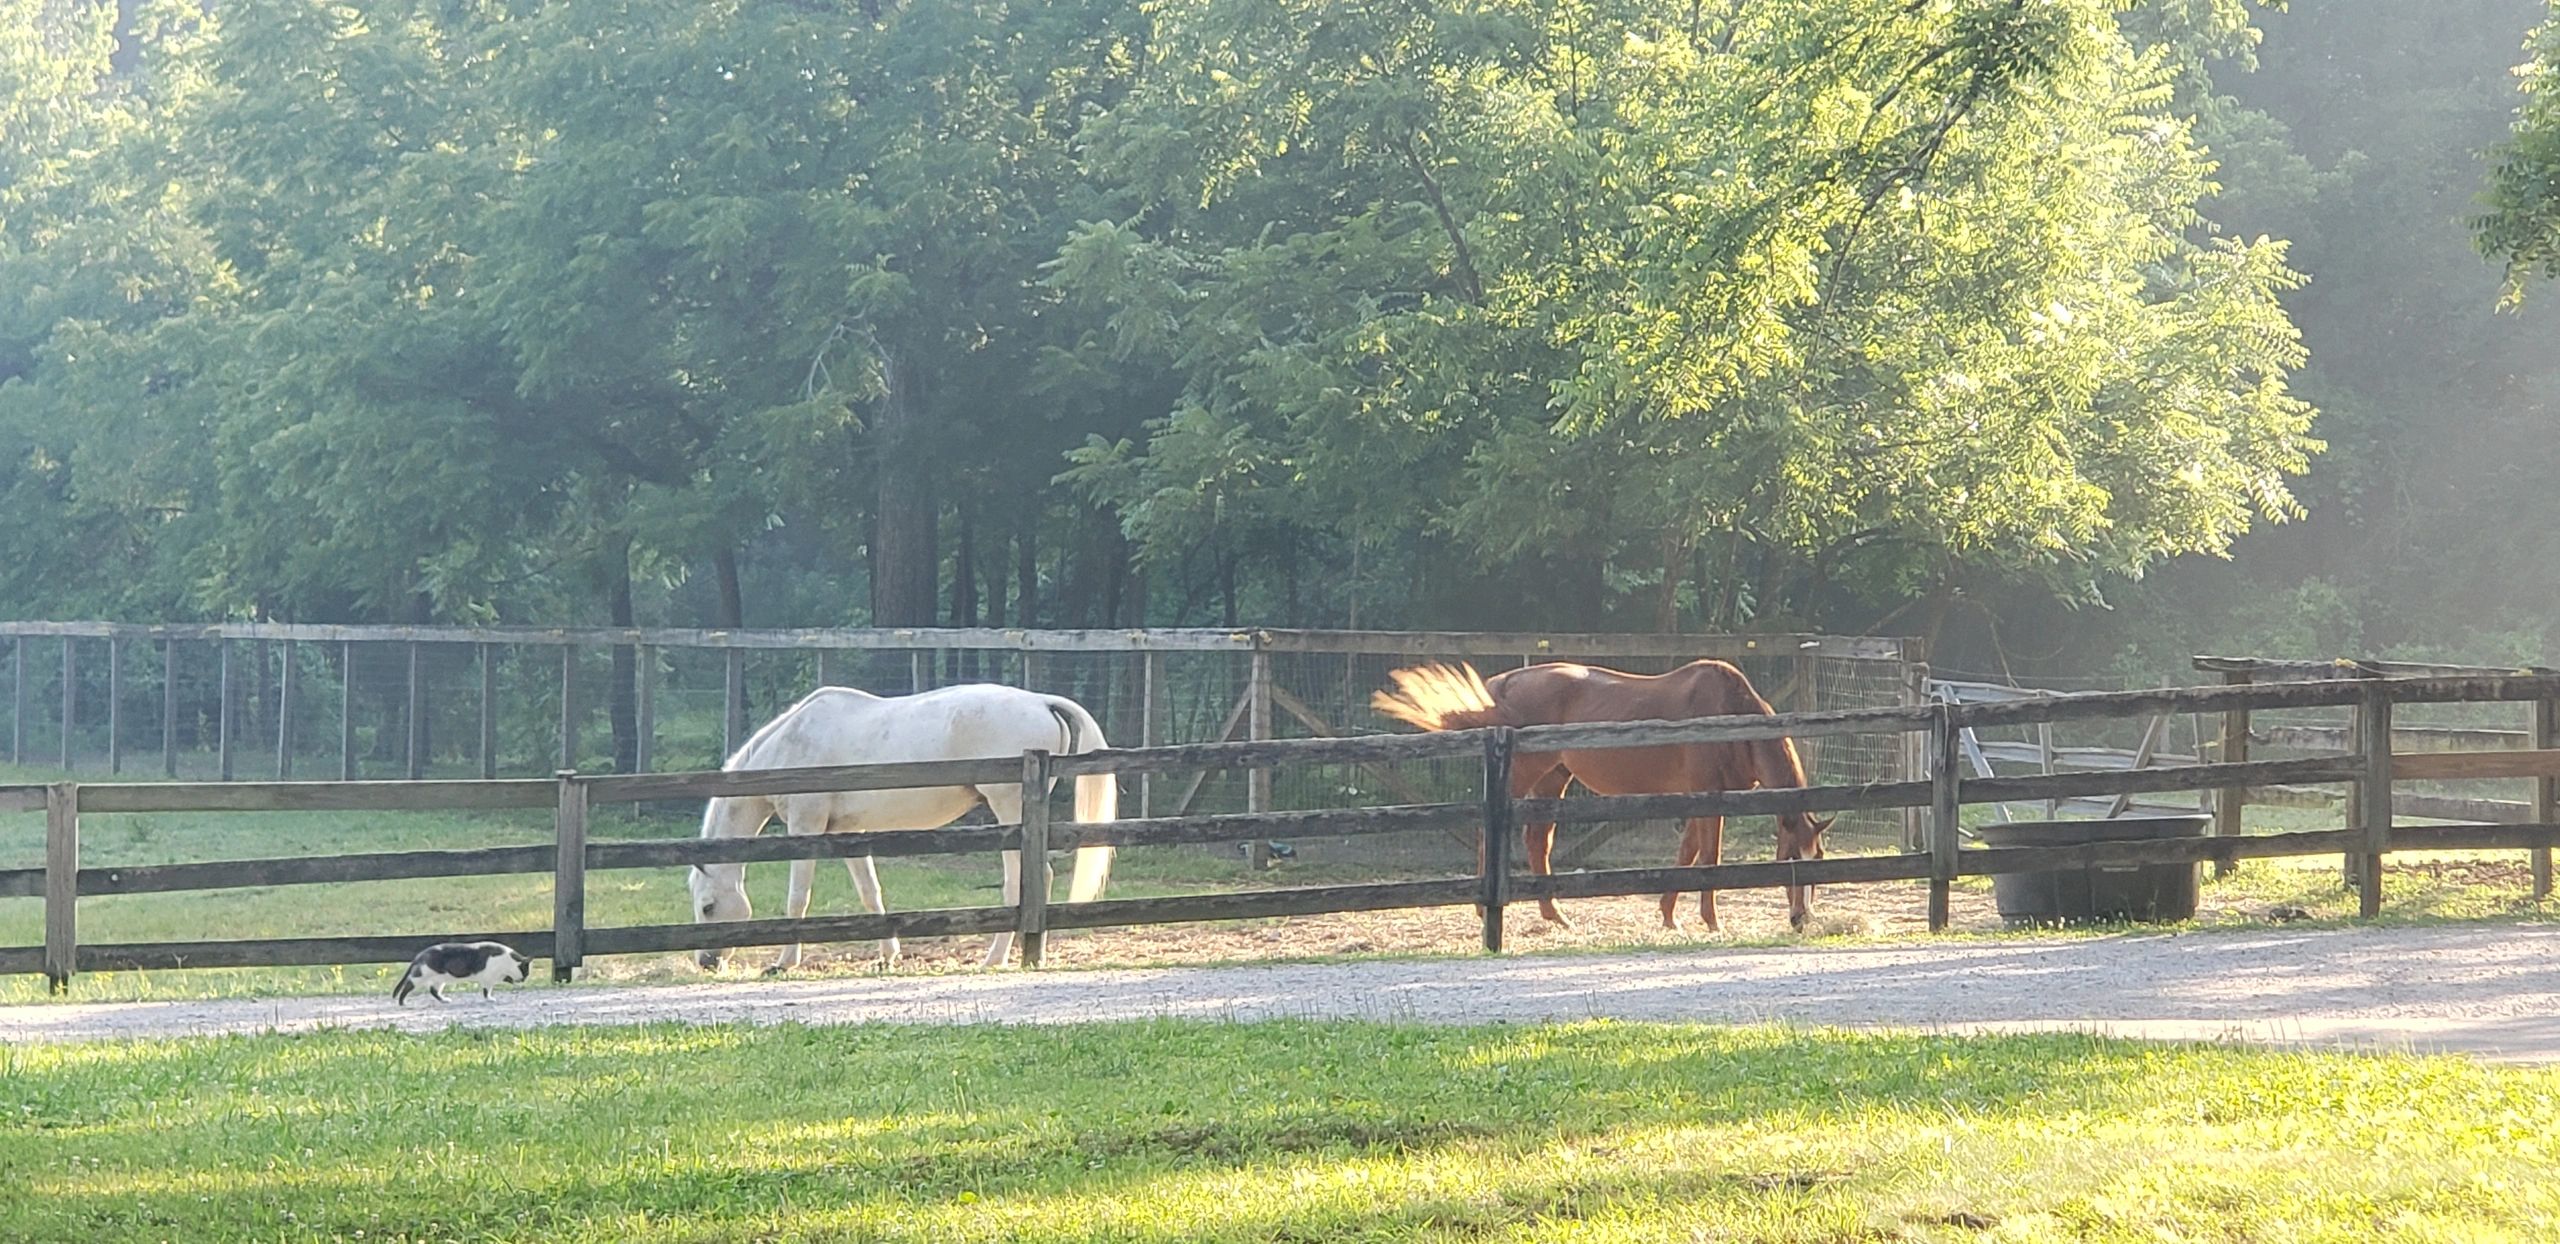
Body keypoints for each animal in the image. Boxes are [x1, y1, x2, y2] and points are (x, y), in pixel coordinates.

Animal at [687, 683, 1118, 972]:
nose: (706, 960)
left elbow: (798, 899)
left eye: (708, 906)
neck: (791, 746)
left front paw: (783, 962)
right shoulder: (848, 835)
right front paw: (887, 956)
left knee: (1025, 880)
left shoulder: (805, 827)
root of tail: (1041, 701)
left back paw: (996, 958)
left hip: (1008, 811)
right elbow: (870, 893)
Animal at [1372, 659, 1833, 931]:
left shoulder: (1695, 798)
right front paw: (1711, 922)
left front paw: (1669, 916)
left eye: (1820, 857)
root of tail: (1502, 684)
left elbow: (1687, 856)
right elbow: (1709, 859)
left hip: (1553, 778)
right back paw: (1487, 908)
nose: (1801, 918)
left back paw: (1556, 916)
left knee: (1538, 842)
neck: (1731, 717)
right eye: (1790, 857)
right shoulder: (1709, 797)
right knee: (1493, 833)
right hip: (1523, 775)